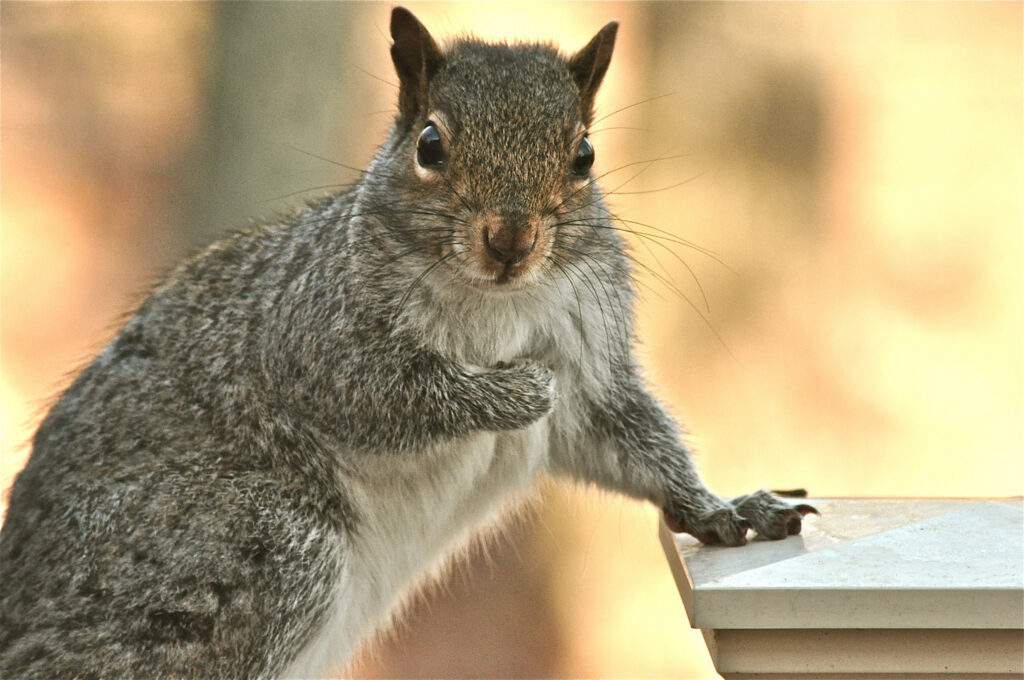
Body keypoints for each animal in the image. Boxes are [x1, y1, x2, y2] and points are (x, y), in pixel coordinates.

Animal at [0, 8, 815, 679]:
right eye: (430, 144)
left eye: (584, 155)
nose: (510, 241)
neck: (497, 300)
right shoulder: (313, 336)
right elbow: (389, 394)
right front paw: (515, 392)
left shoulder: (593, 364)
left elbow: (628, 438)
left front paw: (721, 511)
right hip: (248, 548)